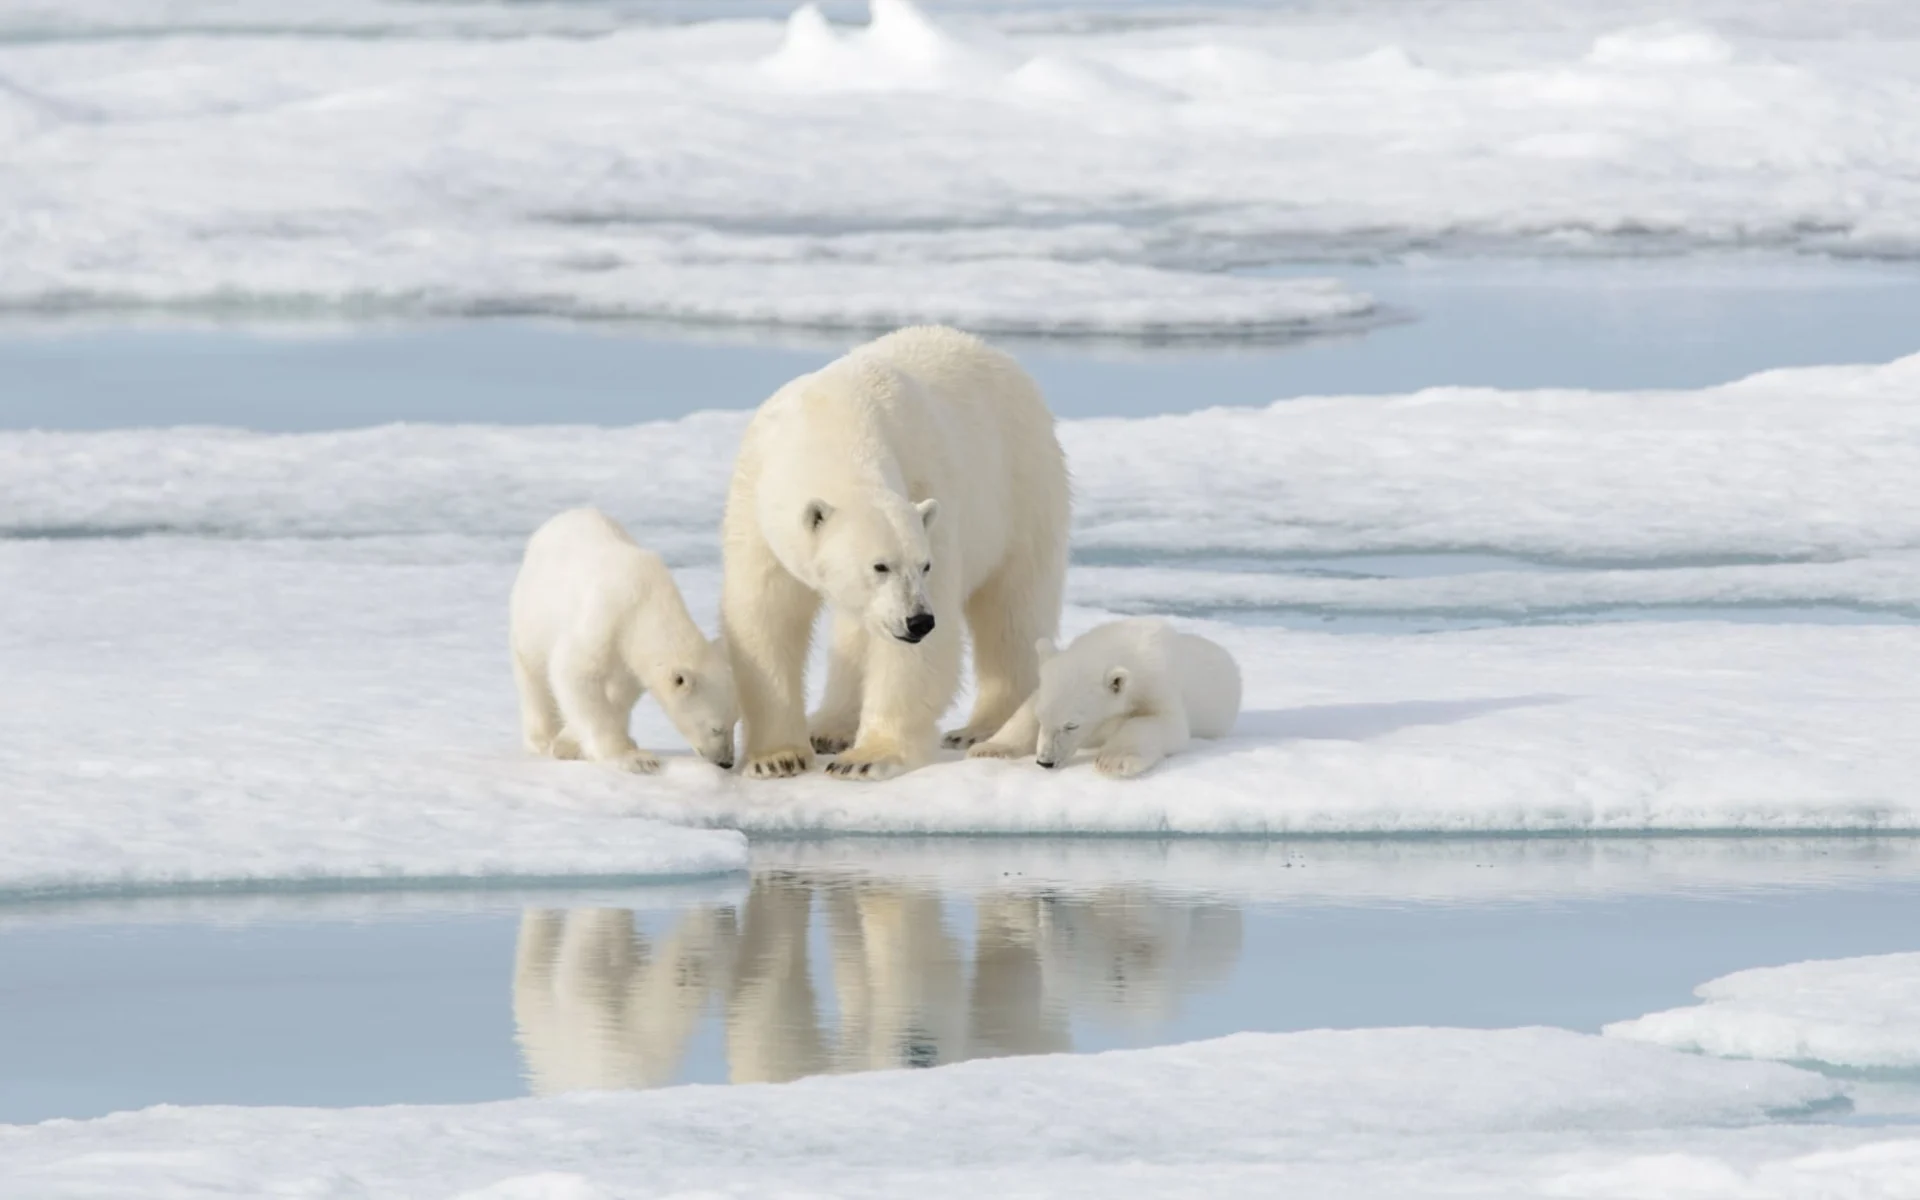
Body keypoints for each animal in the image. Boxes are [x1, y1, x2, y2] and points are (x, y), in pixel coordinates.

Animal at [725, 322, 1075, 783]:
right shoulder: (755, 503)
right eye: (880, 566)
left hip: (1022, 489)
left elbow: (920, 655)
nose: (918, 620)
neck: (833, 423)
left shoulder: (929, 493)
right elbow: (764, 615)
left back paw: (981, 728)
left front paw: (866, 757)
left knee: (1011, 610)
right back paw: (829, 726)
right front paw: (776, 758)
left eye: (923, 566)